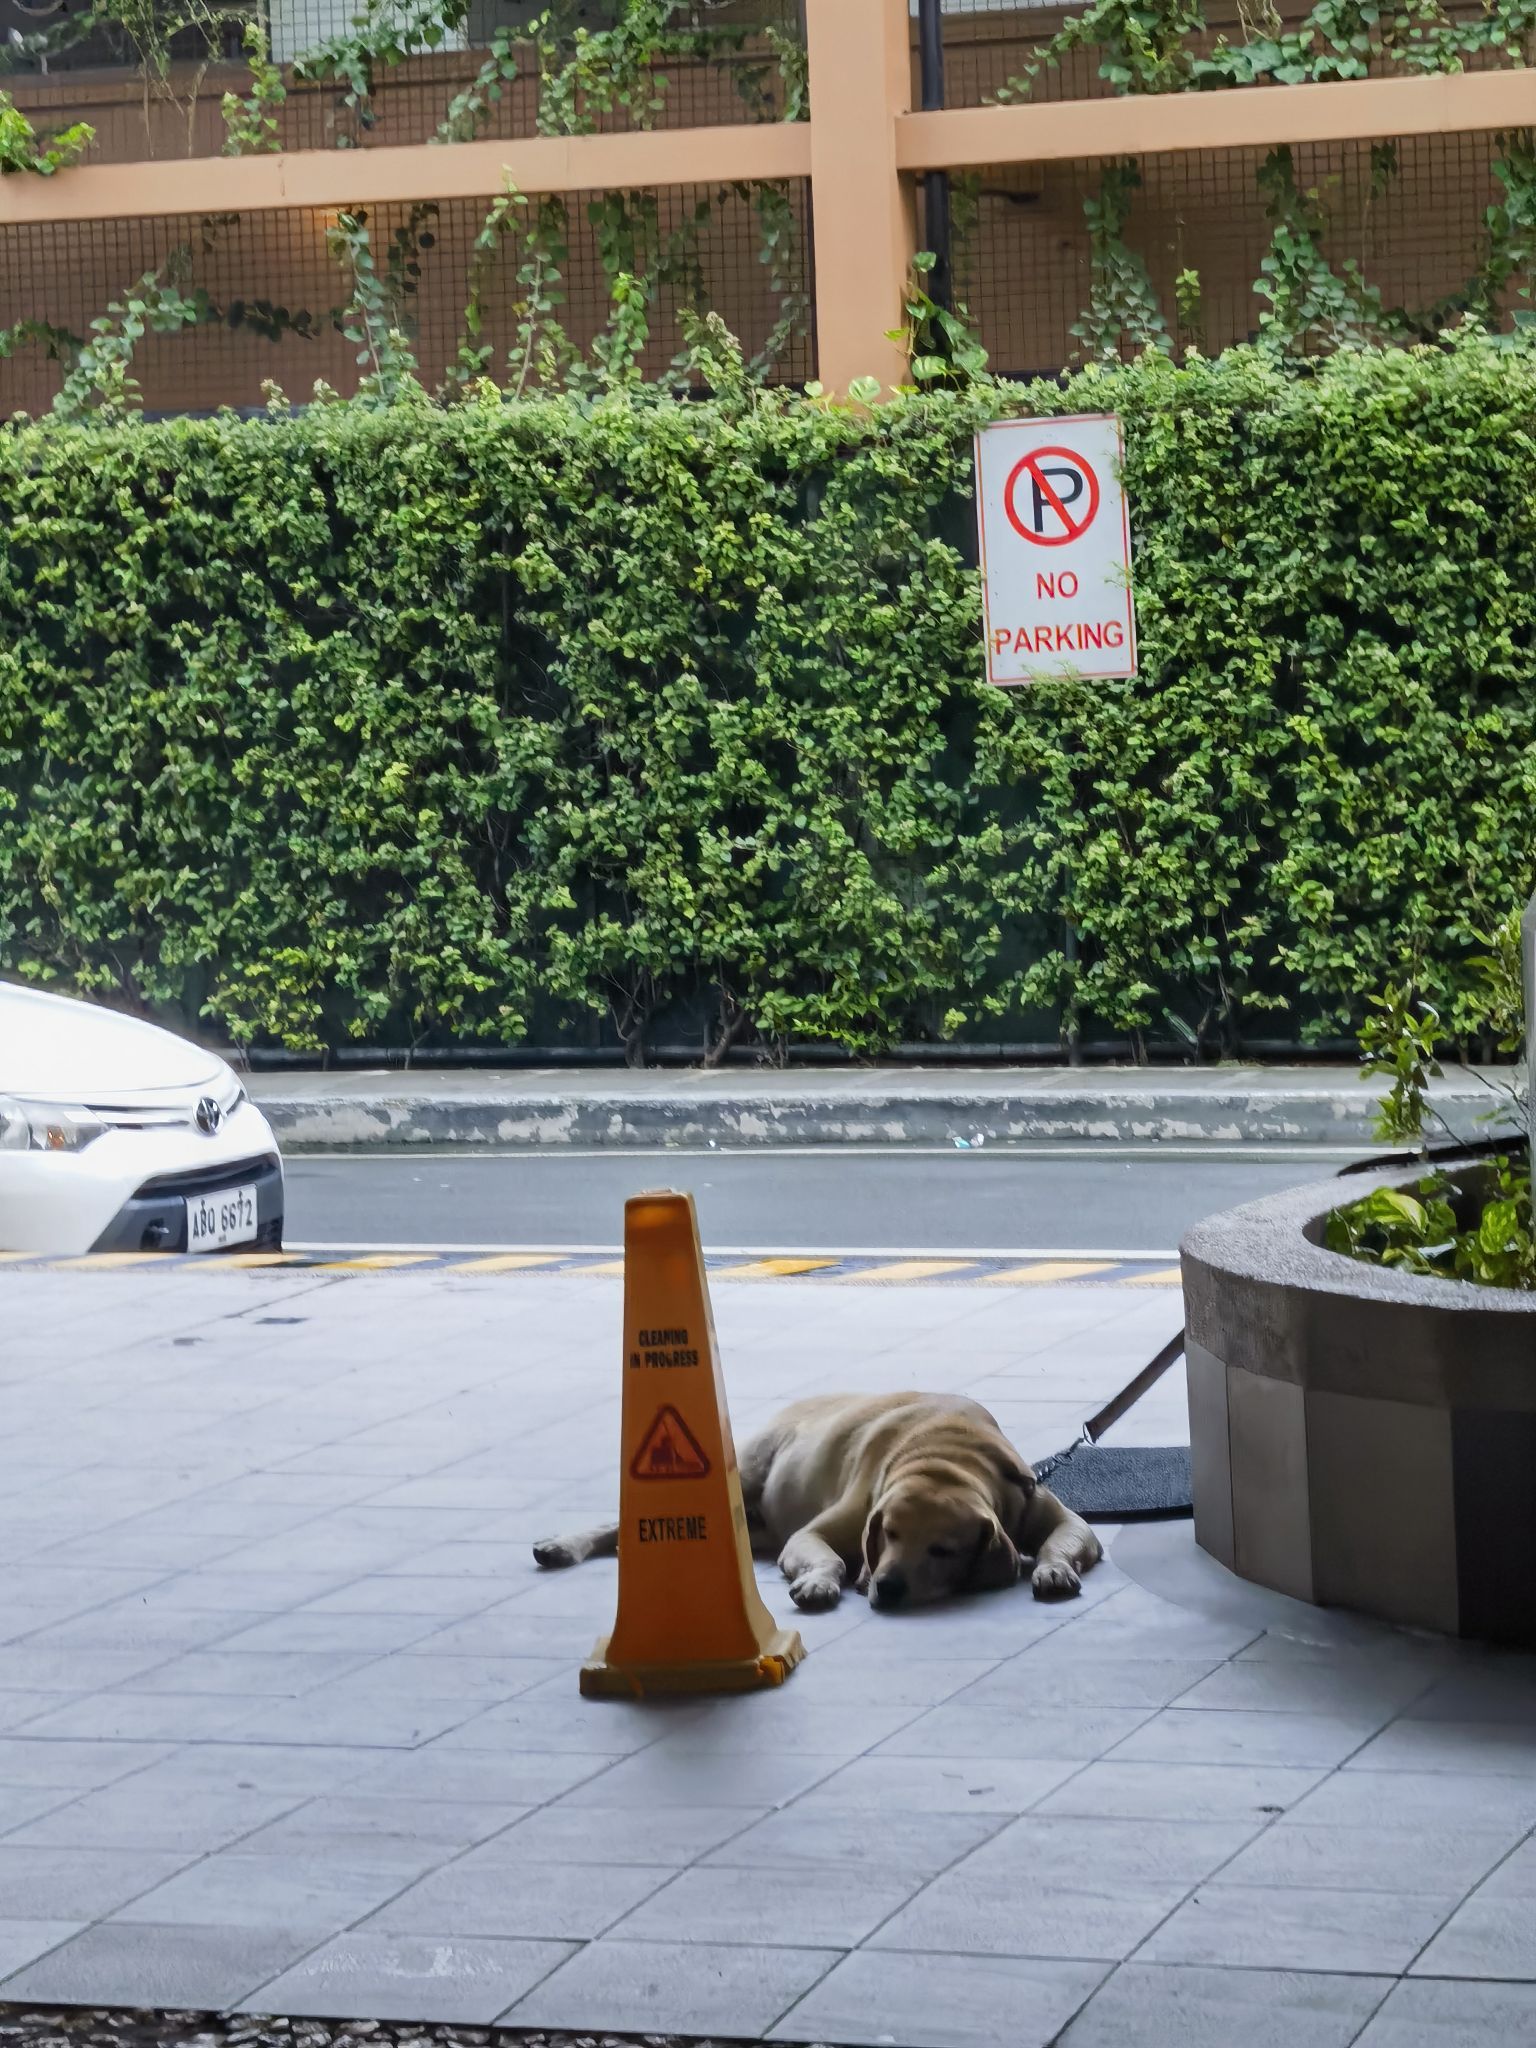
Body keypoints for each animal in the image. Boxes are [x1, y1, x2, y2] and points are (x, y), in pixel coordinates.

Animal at [536, 1392, 1097, 1613]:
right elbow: (827, 1553)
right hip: (744, 1472)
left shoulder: (1049, 1510)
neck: (944, 1456)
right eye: (889, 1534)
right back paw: (566, 1544)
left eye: (944, 1550)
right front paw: (822, 1581)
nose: (889, 1586)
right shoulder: (825, 1528)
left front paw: (1052, 1568)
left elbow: (1067, 1537)